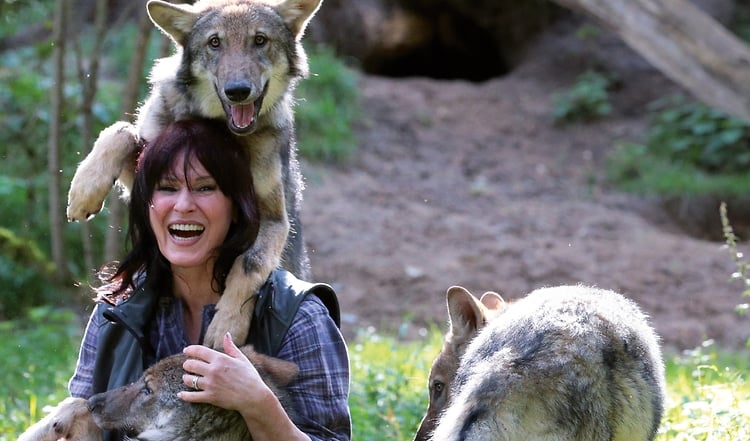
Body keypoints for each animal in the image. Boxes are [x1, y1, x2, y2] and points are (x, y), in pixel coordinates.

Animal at [70, 0, 326, 348]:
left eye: (260, 40)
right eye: (214, 42)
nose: (237, 91)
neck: (222, 131)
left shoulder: (275, 219)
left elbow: (251, 263)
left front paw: (226, 325)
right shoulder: (147, 173)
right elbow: (120, 131)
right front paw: (84, 191)